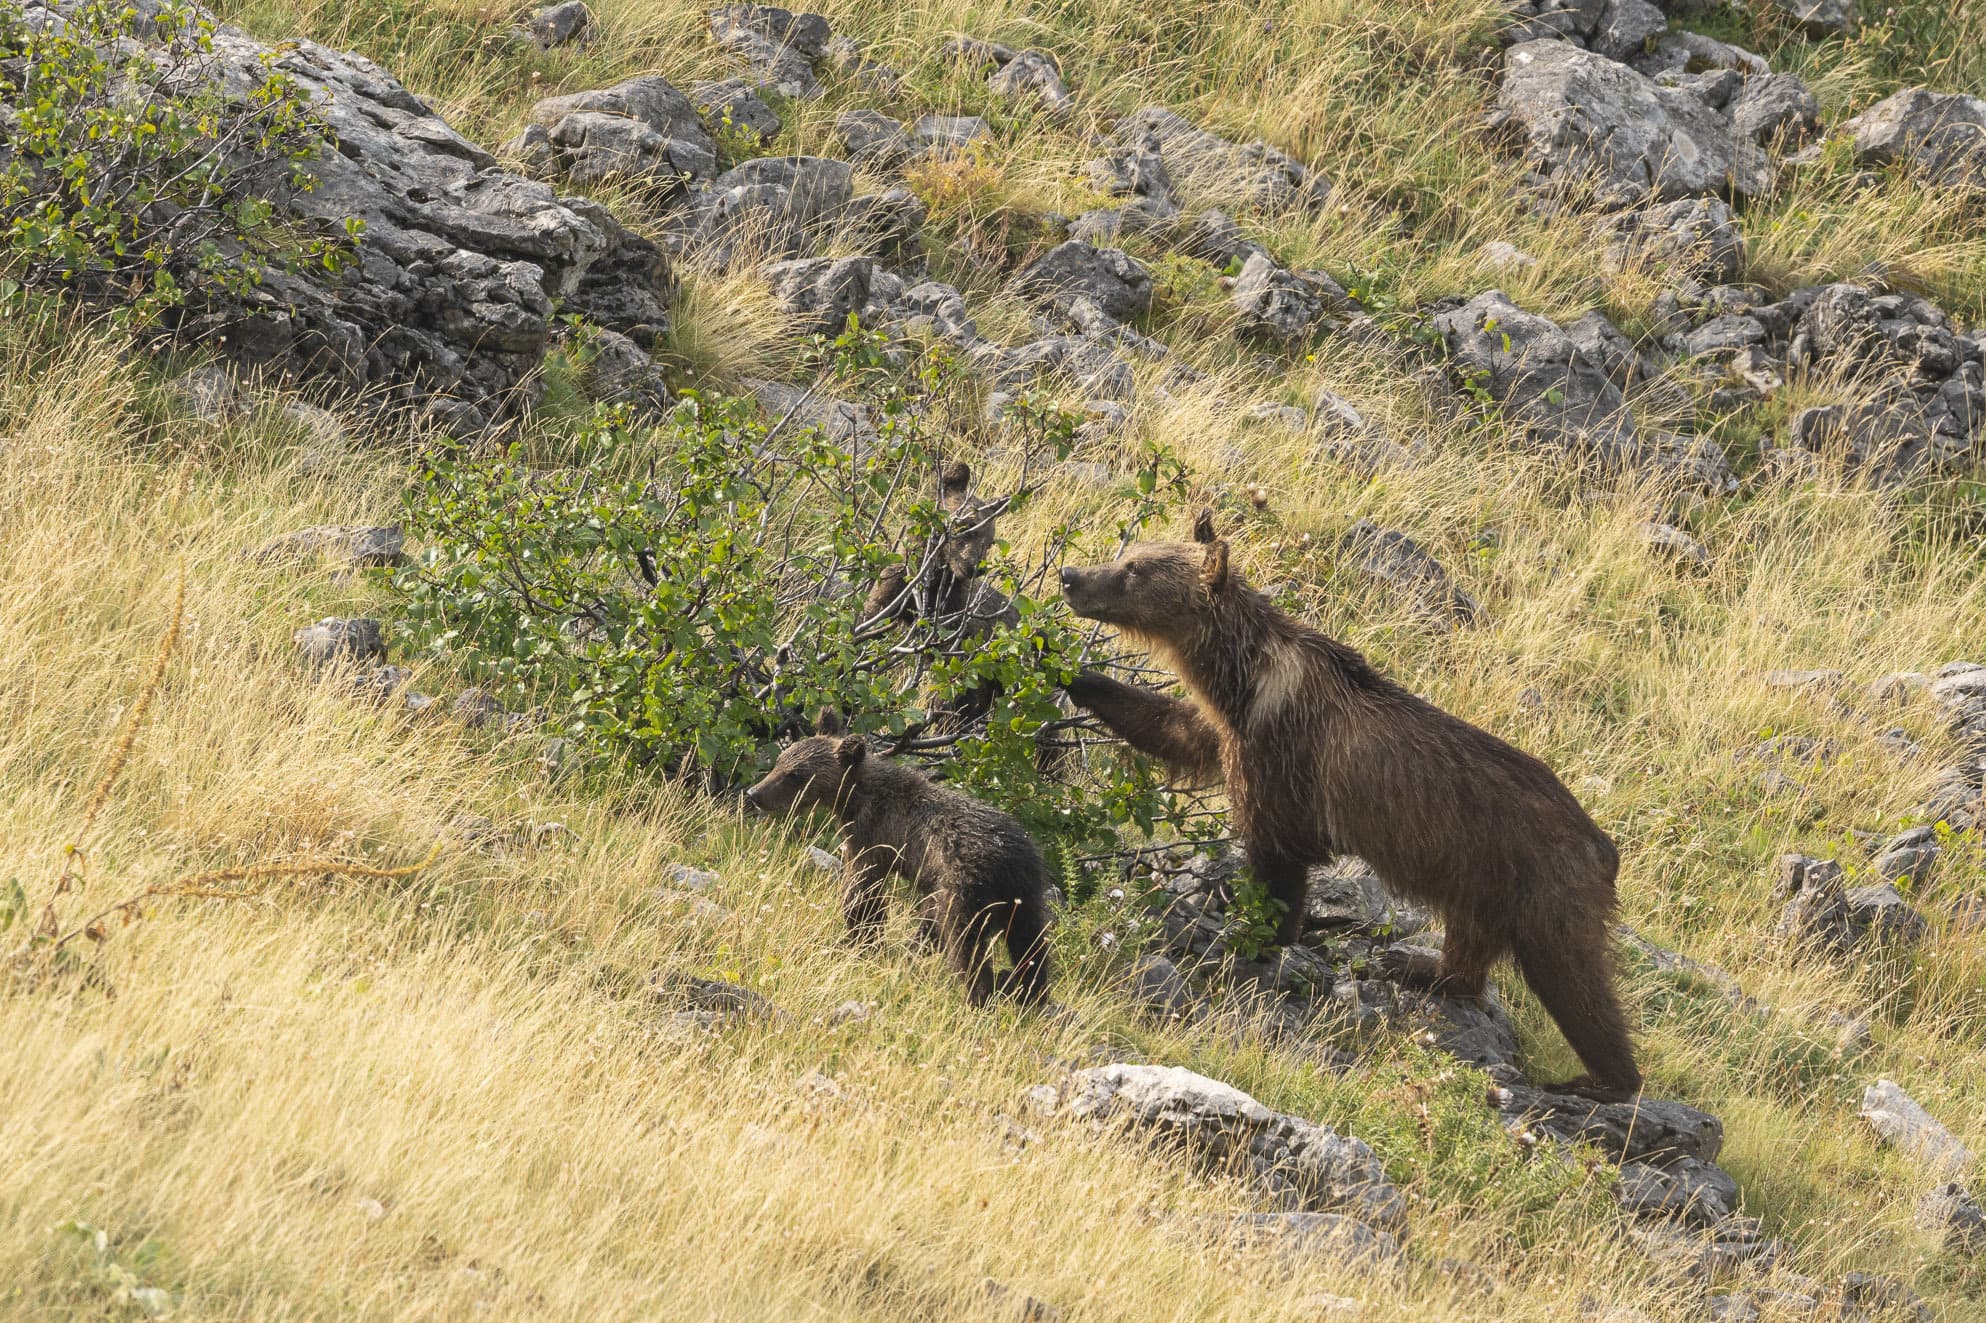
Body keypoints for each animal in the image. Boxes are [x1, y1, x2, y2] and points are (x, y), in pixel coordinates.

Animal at [743, 712, 1054, 1006]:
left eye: (795, 774)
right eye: (781, 760)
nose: (754, 793)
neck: (856, 800)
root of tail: (1007, 861)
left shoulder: (872, 839)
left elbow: (862, 893)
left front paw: (860, 936)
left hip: (964, 890)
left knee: (965, 943)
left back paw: (977, 996)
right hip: (1026, 893)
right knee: (1030, 944)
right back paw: (1032, 993)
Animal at [1057, 512, 1640, 1100]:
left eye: (1134, 569)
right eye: (1128, 553)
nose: (1071, 575)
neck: (1243, 678)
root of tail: (1603, 845)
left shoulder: (1281, 753)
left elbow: (1276, 854)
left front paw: (1252, 938)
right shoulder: (1228, 729)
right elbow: (1172, 729)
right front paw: (1075, 673)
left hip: (1543, 886)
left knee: (1573, 979)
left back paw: (1602, 1081)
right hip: (1482, 882)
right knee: (1471, 945)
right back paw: (1420, 967)